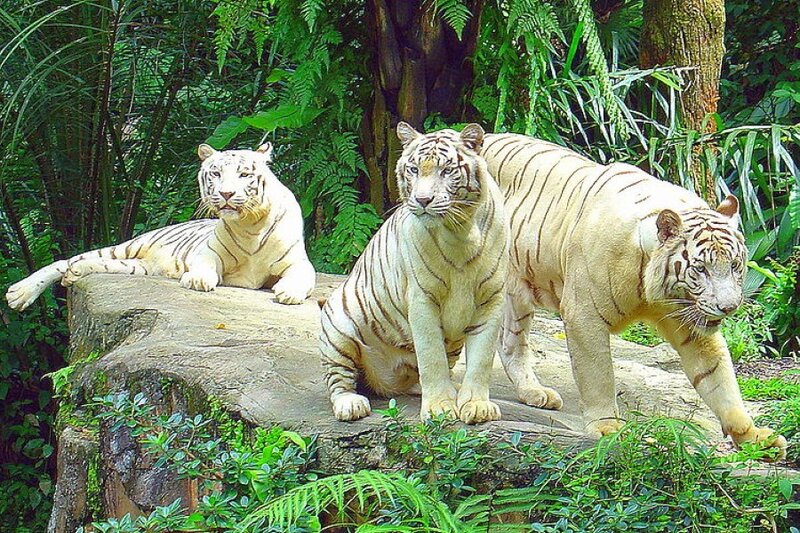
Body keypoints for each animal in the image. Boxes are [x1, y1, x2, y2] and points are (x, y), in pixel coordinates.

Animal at [5, 143, 316, 310]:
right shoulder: (209, 252)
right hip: (125, 248)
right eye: (216, 173)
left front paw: (289, 293)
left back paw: (75, 274)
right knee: (65, 261)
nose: (226, 194)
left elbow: (303, 277)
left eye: (244, 174)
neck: (249, 225)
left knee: (88, 265)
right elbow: (204, 266)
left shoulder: (298, 261)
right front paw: (198, 280)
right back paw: (19, 293)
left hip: (137, 266)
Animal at [320, 122, 509, 424]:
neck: (460, 233)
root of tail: (386, 383)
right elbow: (431, 356)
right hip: (338, 325)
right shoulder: (422, 300)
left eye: (447, 171)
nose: (422, 199)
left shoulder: (491, 300)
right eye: (413, 170)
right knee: (339, 380)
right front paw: (440, 408)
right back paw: (351, 404)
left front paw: (476, 405)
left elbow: (481, 358)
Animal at [481, 132, 787, 458]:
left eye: (735, 265)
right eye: (700, 268)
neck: (654, 290)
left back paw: (534, 393)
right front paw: (607, 428)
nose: (728, 307)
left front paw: (755, 437)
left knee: (509, 342)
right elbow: (598, 375)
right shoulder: (583, 315)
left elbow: (720, 380)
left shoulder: (691, 324)